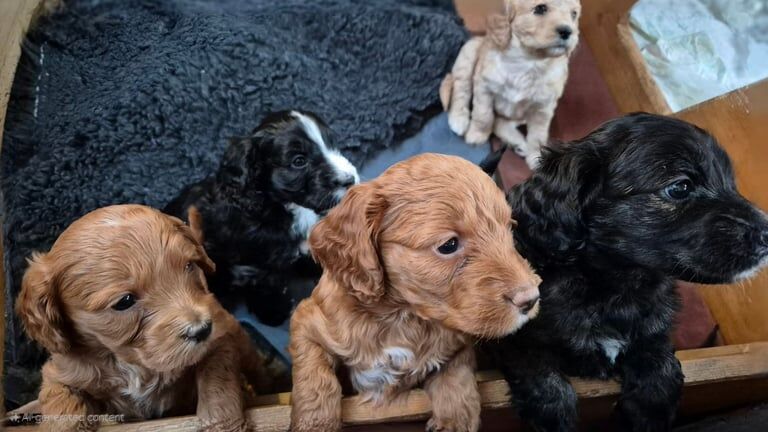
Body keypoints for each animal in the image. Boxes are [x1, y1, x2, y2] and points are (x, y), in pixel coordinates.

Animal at [16, 205, 268, 432]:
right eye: (124, 301)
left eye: (189, 266)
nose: (202, 329)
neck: (131, 362)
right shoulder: (63, 371)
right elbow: (61, 402)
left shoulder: (219, 341)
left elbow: (216, 381)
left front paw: (224, 424)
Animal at [165, 109, 356, 326]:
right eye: (299, 161)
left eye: (333, 145)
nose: (350, 179)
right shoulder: (256, 264)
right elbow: (267, 284)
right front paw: (273, 312)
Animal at [288, 155, 540, 432]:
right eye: (448, 245)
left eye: (509, 229)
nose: (530, 299)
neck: (402, 317)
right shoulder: (307, 321)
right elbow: (315, 378)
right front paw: (315, 424)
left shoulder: (458, 338)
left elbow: (456, 372)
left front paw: (454, 420)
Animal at [440, 0, 580, 169]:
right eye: (540, 8)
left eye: (574, 14)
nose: (567, 31)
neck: (528, 61)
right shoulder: (484, 87)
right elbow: (483, 115)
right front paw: (477, 135)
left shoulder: (543, 108)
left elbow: (538, 135)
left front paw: (536, 156)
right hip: (469, 51)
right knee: (462, 87)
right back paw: (459, 119)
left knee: (500, 123)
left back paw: (519, 145)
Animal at [484, 114, 768, 432]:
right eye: (679, 188)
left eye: (731, 183)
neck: (617, 285)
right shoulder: (510, 336)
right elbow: (536, 366)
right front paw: (553, 414)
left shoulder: (654, 322)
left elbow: (659, 358)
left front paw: (648, 410)